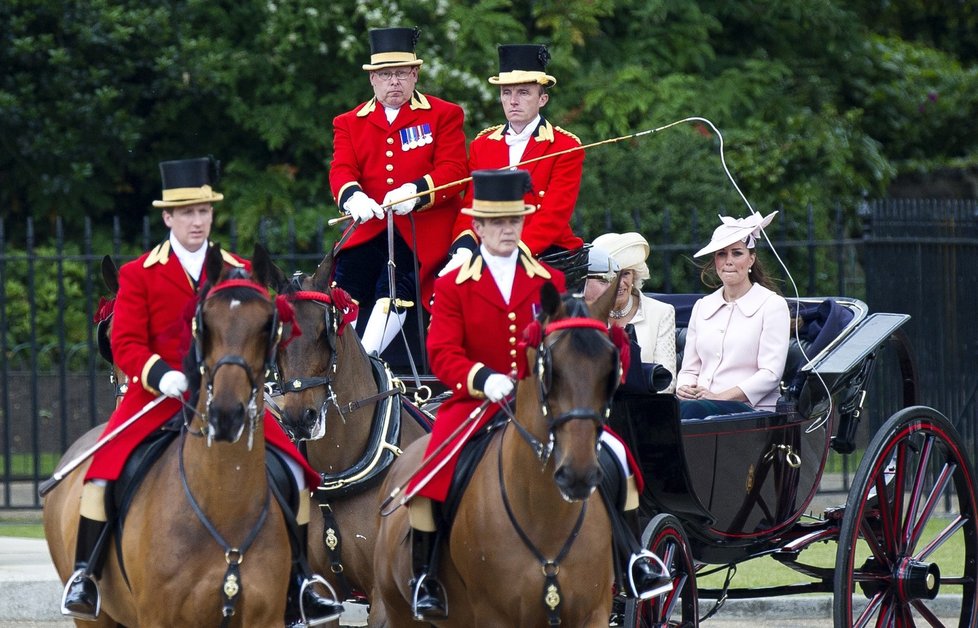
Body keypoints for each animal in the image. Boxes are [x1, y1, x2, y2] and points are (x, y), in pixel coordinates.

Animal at [370, 284, 620, 628]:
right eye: (550, 370)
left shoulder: (593, 613)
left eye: (610, 370)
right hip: (401, 614)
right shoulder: (494, 616)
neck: (545, 515)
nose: (578, 474)